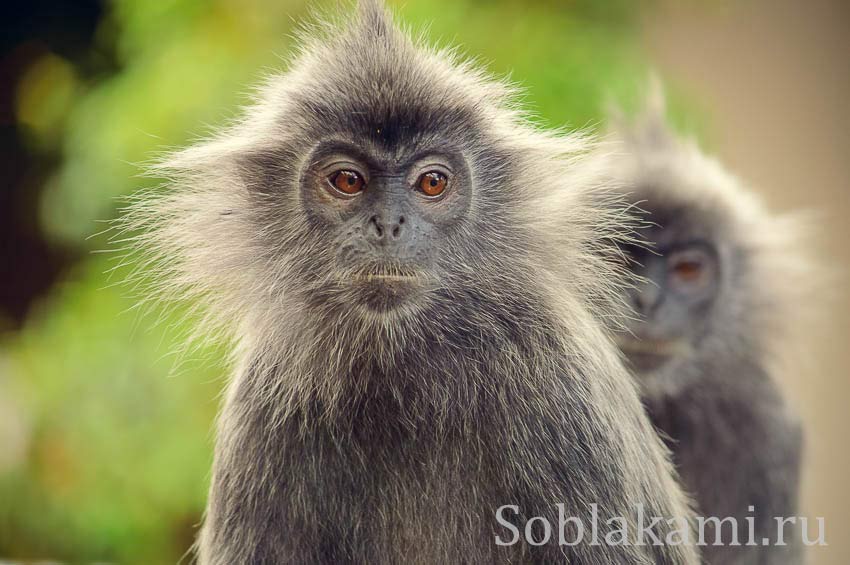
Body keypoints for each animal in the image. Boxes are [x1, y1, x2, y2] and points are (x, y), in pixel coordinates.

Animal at [121, 2, 704, 560]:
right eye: (347, 180)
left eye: (432, 183)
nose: (388, 224)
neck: (403, 367)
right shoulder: (262, 400)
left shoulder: (561, 386)